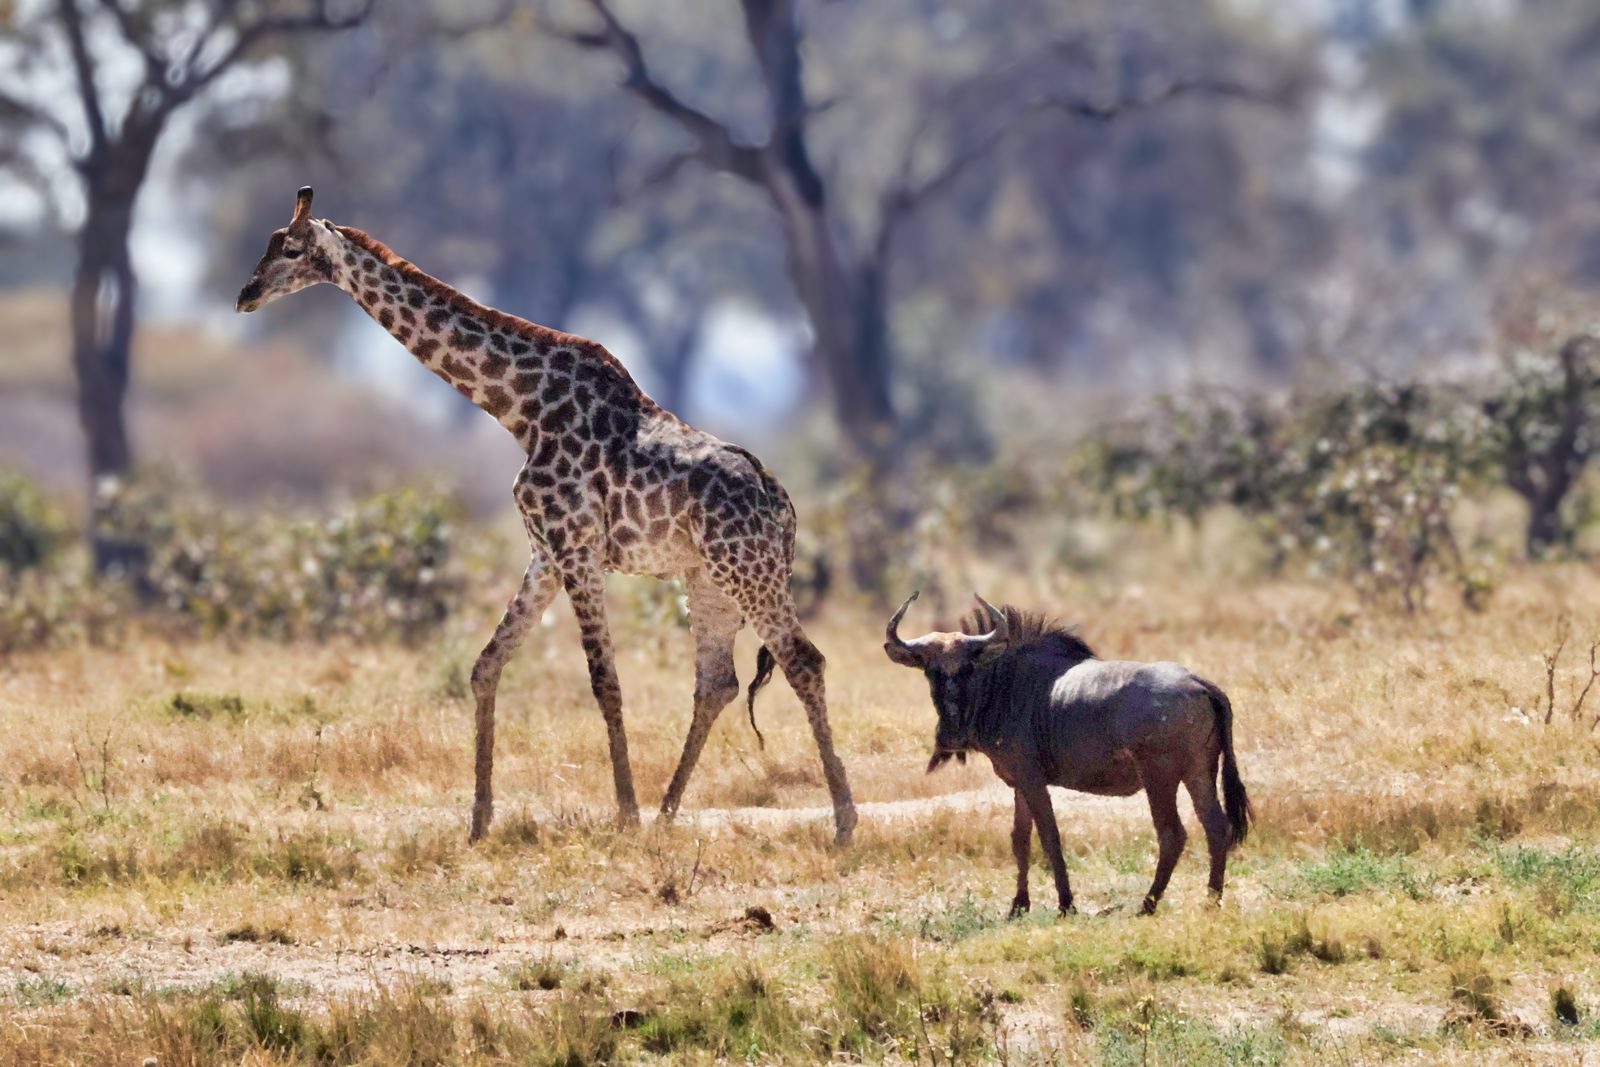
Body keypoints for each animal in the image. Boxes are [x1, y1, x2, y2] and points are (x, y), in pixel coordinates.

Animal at [234, 187, 858, 844]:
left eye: (291, 248)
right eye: (270, 243)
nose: (244, 294)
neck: (521, 410)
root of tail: (782, 502)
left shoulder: (577, 549)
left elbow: (604, 682)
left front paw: (624, 815)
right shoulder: (546, 554)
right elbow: (486, 666)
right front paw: (479, 820)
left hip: (748, 569)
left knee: (802, 661)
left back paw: (841, 821)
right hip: (708, 578)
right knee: (717, 683)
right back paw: (668, 814)